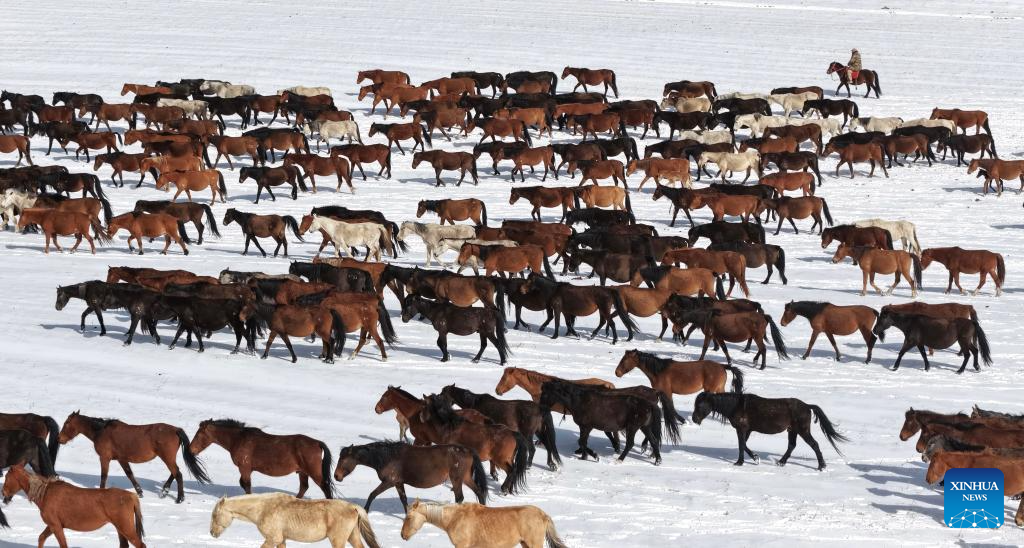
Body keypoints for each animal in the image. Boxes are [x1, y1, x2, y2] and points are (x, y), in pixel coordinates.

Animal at [1, 464, 146, 547]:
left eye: (7, 477)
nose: (3, 493)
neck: (44, 494)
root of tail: (132, 496)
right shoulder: (53, 525)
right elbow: (41, 538)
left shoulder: (55, 525)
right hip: (120, 528)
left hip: (125, 527)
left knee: (141, 545)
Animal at [57, 411, 209, 503]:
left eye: (66, 423)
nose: (59, 439)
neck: (101, 431)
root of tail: (176, 429)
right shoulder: (121, 459)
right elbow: (129, 475)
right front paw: (140, 492)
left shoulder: (105, 458)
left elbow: (104, 476)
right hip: (168, 457)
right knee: (174, 472)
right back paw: (164, 491)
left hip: (167, 457)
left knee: (178, 474)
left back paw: (179, 498)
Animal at [190, 419, 334, 498]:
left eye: (199, 434)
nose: (191, 450)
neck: (239, 439)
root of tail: (317, 443)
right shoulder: (246, 469)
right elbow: (243, 484)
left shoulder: (244, 468)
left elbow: (246, 485)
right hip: (302, 472)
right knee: (303, 488)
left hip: (314, 472)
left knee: (325, 488)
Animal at [335, 441, 487, 512]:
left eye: (343, 459)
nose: (336, 476)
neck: (388, 457)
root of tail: (468, 450)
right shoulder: (398, 483)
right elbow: (404, 500)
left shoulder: (389, 481)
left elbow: (372, 494)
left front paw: (365, 511)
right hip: (465, 477)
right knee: (479, 492)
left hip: (456, 479)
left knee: (460, 498)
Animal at [692, 392, 847, 469]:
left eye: (700, 405)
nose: (694, 419)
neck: (737, 406)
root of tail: (807, 406)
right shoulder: (747, 430)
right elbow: (744, 445)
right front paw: (755, 458)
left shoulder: (742, 429)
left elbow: (741, 445)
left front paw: (740, 462)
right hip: (792, 430)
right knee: (792, 446)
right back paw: (781, 462)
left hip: (803, 430)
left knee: (814, 445)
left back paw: (821, 466)